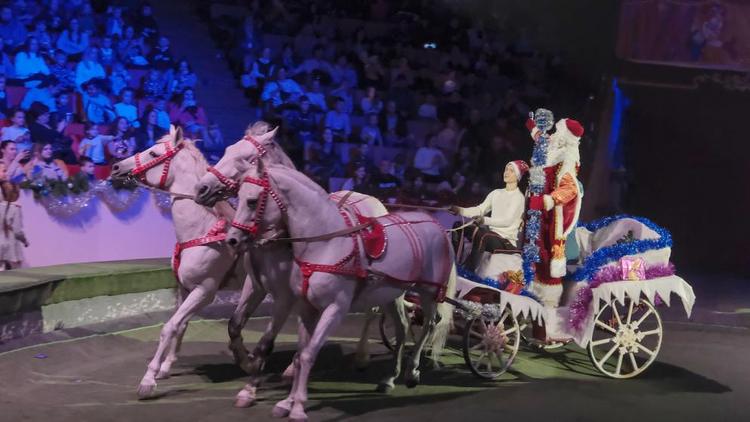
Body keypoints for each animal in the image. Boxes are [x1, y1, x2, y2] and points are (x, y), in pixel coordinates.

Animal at [111, 129, 296, 406]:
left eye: (153, 153)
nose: (116, 167)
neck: (201, 229)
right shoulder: (184, 288)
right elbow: (180, 325)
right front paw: (166, 366)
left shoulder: (204, 291)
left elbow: (169, 327)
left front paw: (149, 379)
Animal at [194, 121, 390, 370]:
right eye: (228, 150)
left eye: (247, 158)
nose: (202, 188)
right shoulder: (255, 285)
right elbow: (235, 323)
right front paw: (244, 358)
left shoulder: (287, 294)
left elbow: (275, 334)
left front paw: (260, 361)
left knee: (371, 311)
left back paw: (362, 354)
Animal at [226, 161, 458, 418]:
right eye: (237, 194)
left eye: (252, 201)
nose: (232, 239)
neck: (326, 244)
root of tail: (434, 223)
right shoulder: (305, 307)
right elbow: (299, 355)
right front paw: (286, 402)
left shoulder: (331, 308)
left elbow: (305, 354)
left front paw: (296, 407)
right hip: (391, 293)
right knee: (402, 326)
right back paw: (389, 378)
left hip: (429, 292)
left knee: (430, 324)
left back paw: (412, 372)